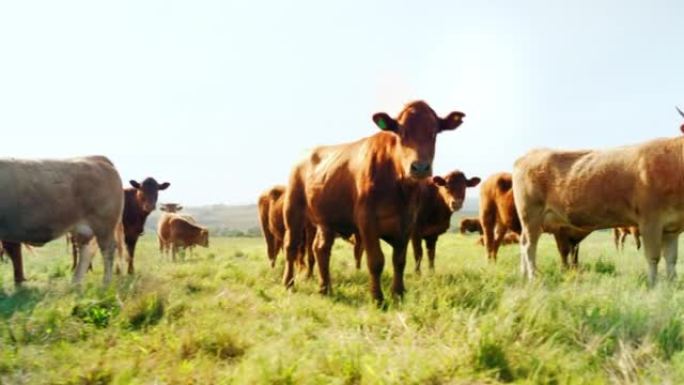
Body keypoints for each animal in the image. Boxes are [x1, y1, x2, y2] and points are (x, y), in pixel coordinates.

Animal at [0, 154, 123, 284]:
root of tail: (95, 159)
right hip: (83, 229)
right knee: (86, 252)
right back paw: (75, 283)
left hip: (103, 226)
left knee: (108, 249)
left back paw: (105, 283)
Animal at [282, 100, 464, 304]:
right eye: (401, 132)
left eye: (434, 132)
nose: (420, 167)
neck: (398, 186)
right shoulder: (367, 221)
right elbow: (376, 261)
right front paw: (378, 298)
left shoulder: (407, 224)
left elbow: (399, 261)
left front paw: (398, 294)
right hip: (293, 211)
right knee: (291, 246)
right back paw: (289, 284)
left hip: (326, 219)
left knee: (321, 249)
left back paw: (325, 288)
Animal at [512, 134, 684, 284]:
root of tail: (529, 154)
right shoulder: (650, 221)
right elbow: (653, 257)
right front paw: (653, 285)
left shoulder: (672, 228)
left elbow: (671, 259)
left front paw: (671, 284)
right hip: (531, 215)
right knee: (529, 246)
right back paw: (532, 278)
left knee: (523, 243)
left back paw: (523, 275)